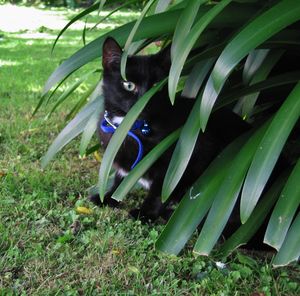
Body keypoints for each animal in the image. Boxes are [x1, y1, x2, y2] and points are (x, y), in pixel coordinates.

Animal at [90, 37, 250, 222]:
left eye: (156, 85)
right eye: (129, 85)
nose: (145, 100)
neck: (130, 126)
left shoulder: (190, 155)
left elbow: (160, 191)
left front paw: (145, 213)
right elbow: (120, 178)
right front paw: (108, 197)